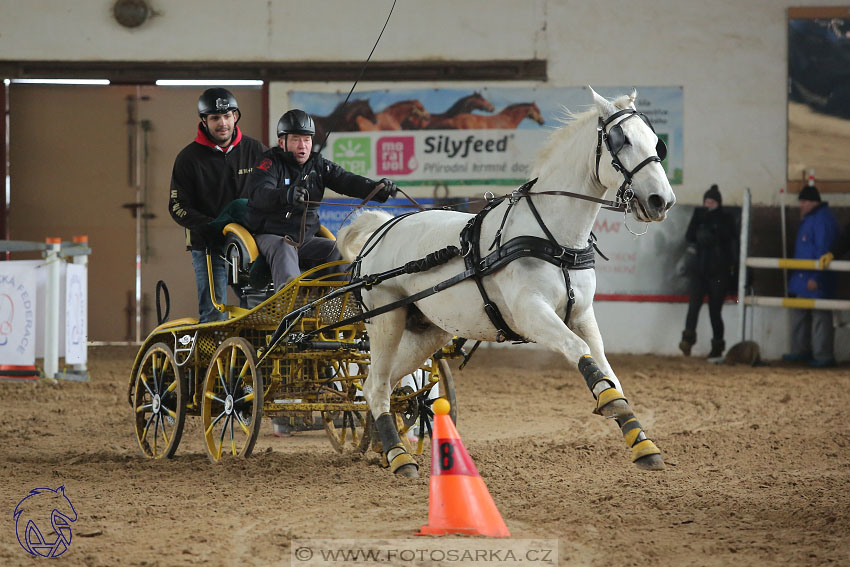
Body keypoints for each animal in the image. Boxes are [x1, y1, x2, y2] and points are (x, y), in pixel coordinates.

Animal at [334, 89, 672, 478]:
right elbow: (577, 349)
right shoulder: (531, 313)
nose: (661, 200)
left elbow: (606, 367)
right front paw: (612, 404)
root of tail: (382, 227)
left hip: (427, 332)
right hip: (386, 320)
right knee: (375, 385)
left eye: (656, 143)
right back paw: (399, 457)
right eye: (622, 140)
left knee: (382, 382)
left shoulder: (582, 314)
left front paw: (642, 443)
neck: (555, 239)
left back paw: (382, 444)